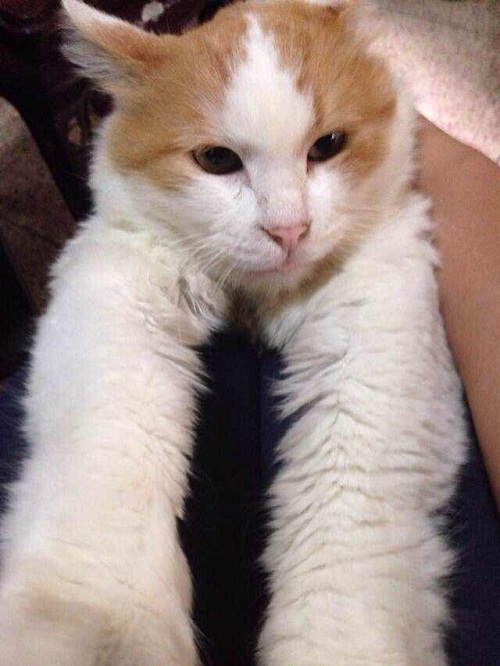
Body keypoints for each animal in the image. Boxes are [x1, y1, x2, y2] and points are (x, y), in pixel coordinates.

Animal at [0, 0, 466, 664]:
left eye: (328, 146)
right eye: (216, 161)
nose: (289, 230)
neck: (252, 305)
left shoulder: (378, 321)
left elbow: (346, 547)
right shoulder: (118, 284)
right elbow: (109, 491)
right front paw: (101, 637)